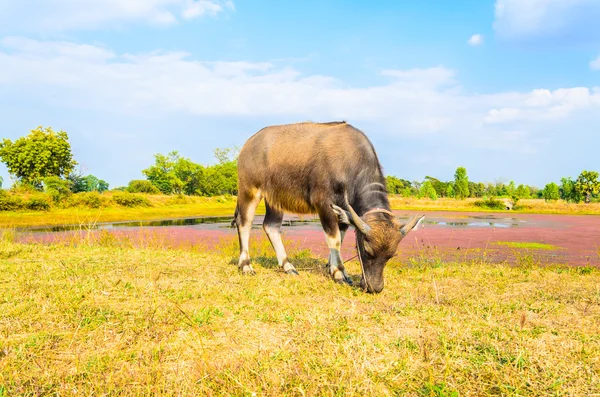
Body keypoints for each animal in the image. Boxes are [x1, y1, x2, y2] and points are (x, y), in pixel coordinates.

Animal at [230, 122, 422, 292]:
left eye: (391, 255)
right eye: (366, 251)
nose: (375, 288)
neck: (348, 161)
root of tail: (249, 144)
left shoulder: (344, 211)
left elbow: (340, 238)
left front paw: (335, 268)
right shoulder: (324, 205)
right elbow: (333, 238)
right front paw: (338, 273)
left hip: (274, 198)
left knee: (271, 226)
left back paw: (288, 266)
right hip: (249, 190)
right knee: (244, 222)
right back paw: (246, 265)